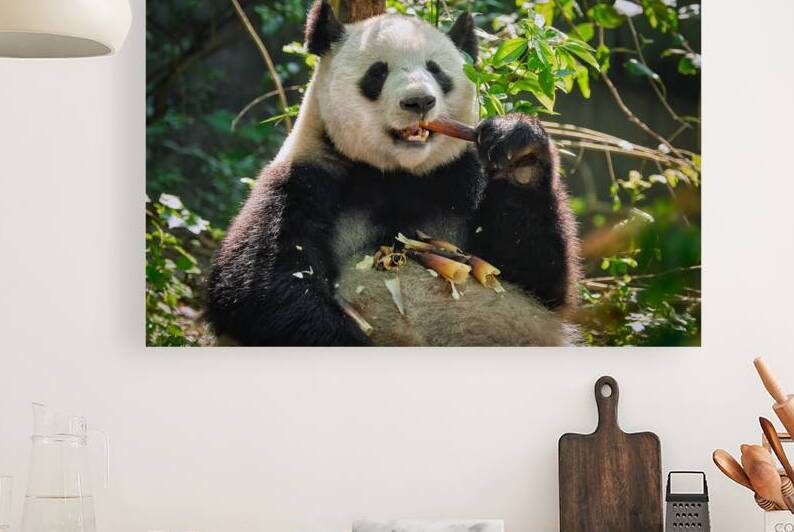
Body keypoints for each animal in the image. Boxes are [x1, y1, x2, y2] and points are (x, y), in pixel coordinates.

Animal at [206, 1, 581, 347]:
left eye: (437, 71)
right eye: (378, 72)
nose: (419, 102)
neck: (397, 172)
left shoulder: (460, 176)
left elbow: (534, 276)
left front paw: (519, 151)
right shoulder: (304, 180)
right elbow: (262, 286)